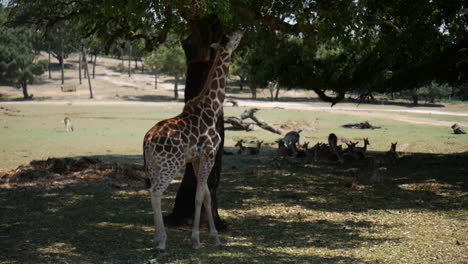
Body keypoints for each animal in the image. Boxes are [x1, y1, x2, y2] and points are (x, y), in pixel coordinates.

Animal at [143, 29, 243, 251]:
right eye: (231, 37)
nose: (242, 30)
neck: (213, 107)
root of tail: (147, 140)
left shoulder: (198, 159)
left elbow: (206, 194)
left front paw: (215, 237)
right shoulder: (209, 154)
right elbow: (199, 196)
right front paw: (196, 240)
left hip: (153, 165)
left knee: (151, 192)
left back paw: (155, 237)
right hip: (171, 164)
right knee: (156, 192)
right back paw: (162, 241)